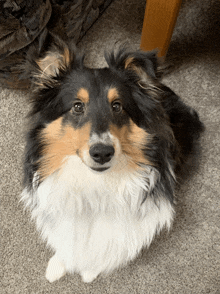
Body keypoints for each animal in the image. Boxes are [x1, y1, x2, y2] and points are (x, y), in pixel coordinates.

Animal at [20, 34, 203, 282]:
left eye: (117, 106)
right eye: (77, 106)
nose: (102, 153)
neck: (94, 181)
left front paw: (90, 270)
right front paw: (59, 264)